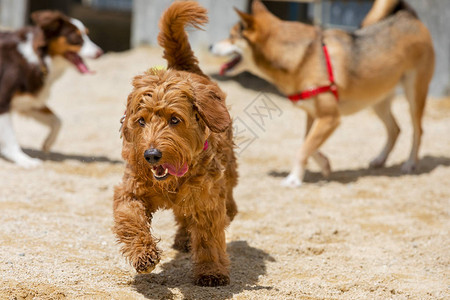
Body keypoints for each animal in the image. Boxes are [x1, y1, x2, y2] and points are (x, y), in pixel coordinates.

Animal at [0, 10, 102, 168]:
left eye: (87, 34)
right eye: (76, 37)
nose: (100, 52)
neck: (39, 58)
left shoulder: (27, 102)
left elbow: (57, 120)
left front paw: (48, 143)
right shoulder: (3, 101)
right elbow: (10, 138)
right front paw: (23, 159)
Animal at [112, 0, 239, 288]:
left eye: (174, 119)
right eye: (141, 121)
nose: (151, 154)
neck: (171, 182)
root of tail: (184, 68)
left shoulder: (206, 200)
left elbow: (209, 238)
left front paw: (211, 271)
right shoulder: (130, 191)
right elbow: (131, 219)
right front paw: (143, 254)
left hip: (227, 172)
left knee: (225, 203)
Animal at [211, 0, 436, 188]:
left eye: (232, 36)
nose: (211, 45)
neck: (302, 56)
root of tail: (409, 16)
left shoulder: (330, 118)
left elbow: (303, 148)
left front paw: (294, 179)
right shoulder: (314, 115)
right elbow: (308, 144)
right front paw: (325, 164)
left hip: (414, 95)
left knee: (418, 130)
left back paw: (410, 163)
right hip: (377, 100)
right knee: (395, 129)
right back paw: (380, 159)